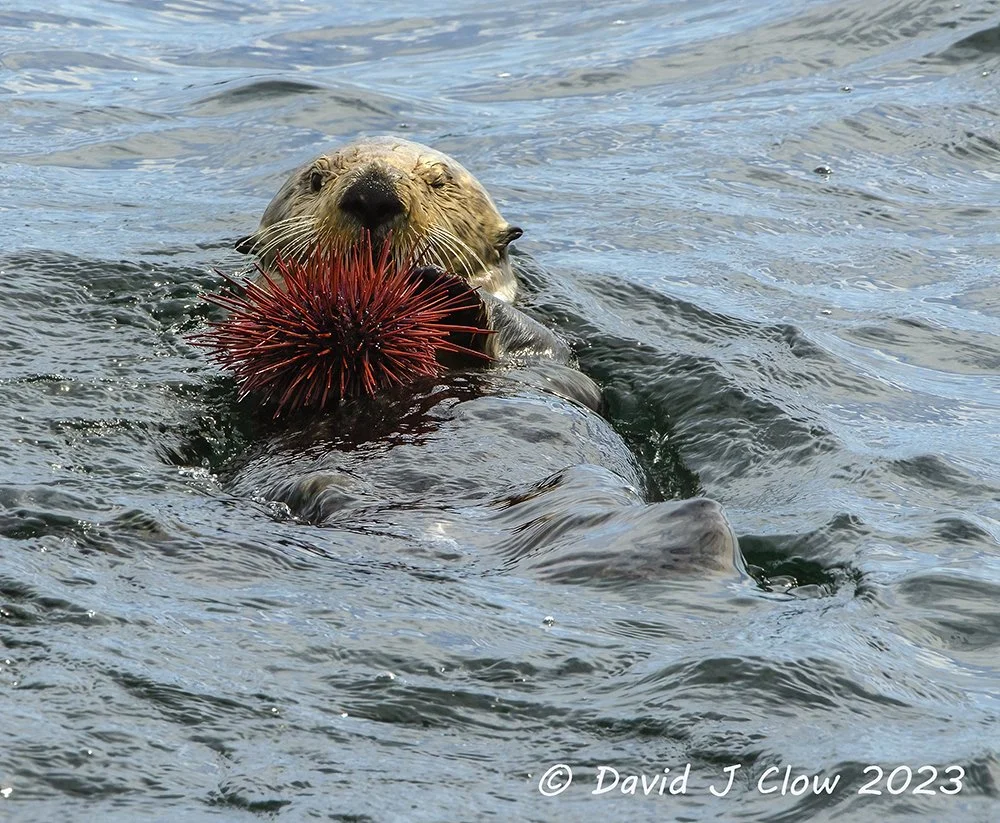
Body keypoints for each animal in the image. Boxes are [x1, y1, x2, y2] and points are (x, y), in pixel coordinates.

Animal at [229, 136, 744, 582]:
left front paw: (446, 290)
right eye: (315, 179)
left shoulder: (551, 355)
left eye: (439, 181)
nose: (372, 194)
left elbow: (557, 364)